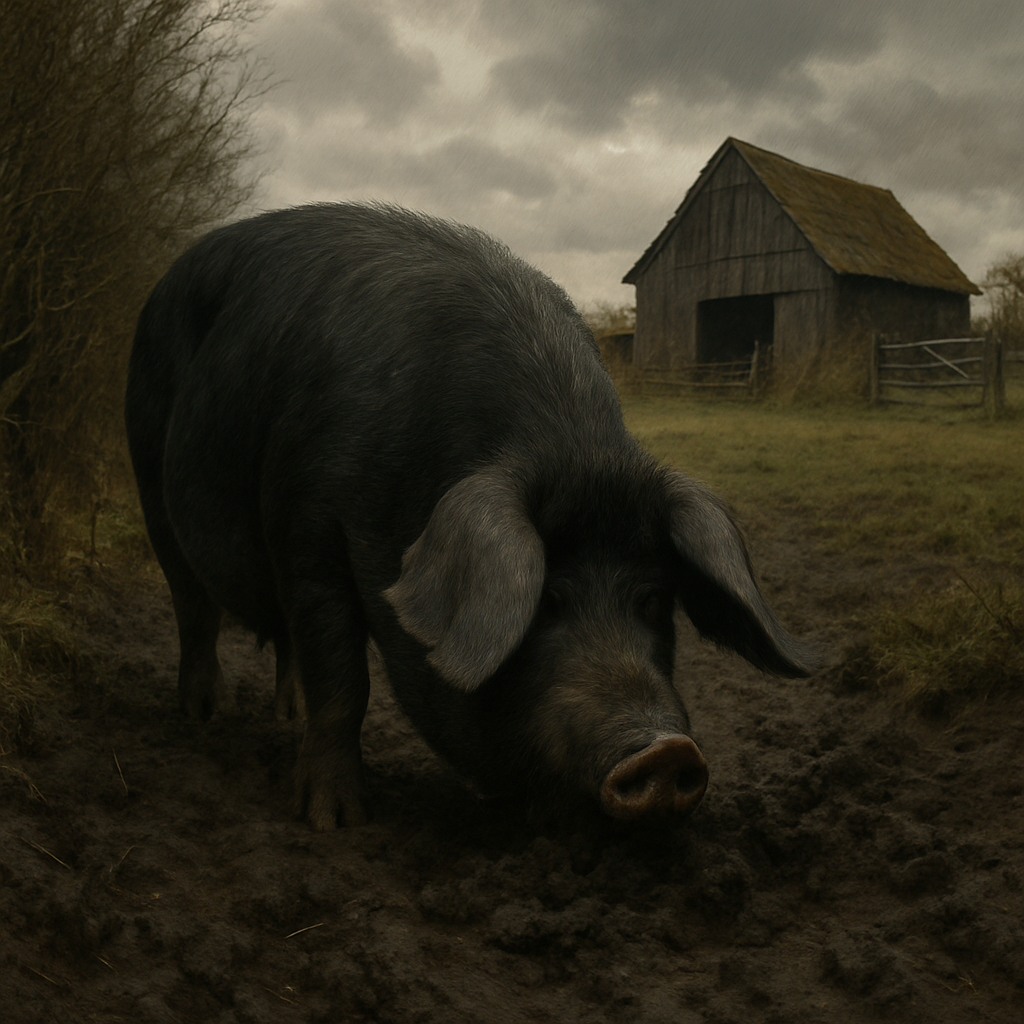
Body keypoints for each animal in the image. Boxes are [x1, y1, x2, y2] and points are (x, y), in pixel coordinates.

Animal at [124, 203, 815, 830]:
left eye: (653, 599)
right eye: (544, 601)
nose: (667, 753)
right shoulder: (305, 525)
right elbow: (343, 677)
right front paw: (334, 822)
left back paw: (281, 717)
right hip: (147, 470)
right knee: (194, 606)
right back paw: (202, 715)